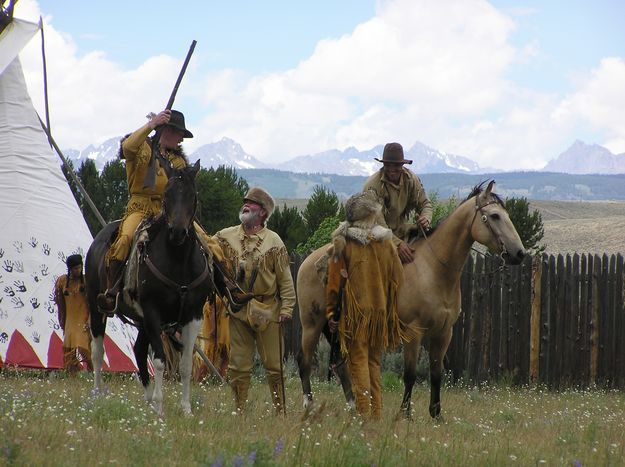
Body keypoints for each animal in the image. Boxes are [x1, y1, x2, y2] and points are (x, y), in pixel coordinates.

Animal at [86, 161, 211, 416]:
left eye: (192, 195)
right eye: (167, 195)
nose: (178, 232)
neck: (178, 261)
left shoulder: (193, 315)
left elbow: (185, 364)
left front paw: (185, 409)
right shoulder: (153, 313)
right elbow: (161, 361)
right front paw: (160, 408)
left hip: (141, 320)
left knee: (138, 350)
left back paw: (148, 399)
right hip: (97, 308)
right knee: (98, 352)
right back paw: (98, 395)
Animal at [294, 181, 524, 418]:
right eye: (495, 216)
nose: (519, 253)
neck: (433, 269)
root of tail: (308, 262)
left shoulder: (444, 333)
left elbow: (436, 373)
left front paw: (436, 414)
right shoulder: (414, 332)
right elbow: (410, 374)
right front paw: (405, 414)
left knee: (341, 364)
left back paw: (352, 406)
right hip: (312, 324)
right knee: (304, 360)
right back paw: (309, 405)